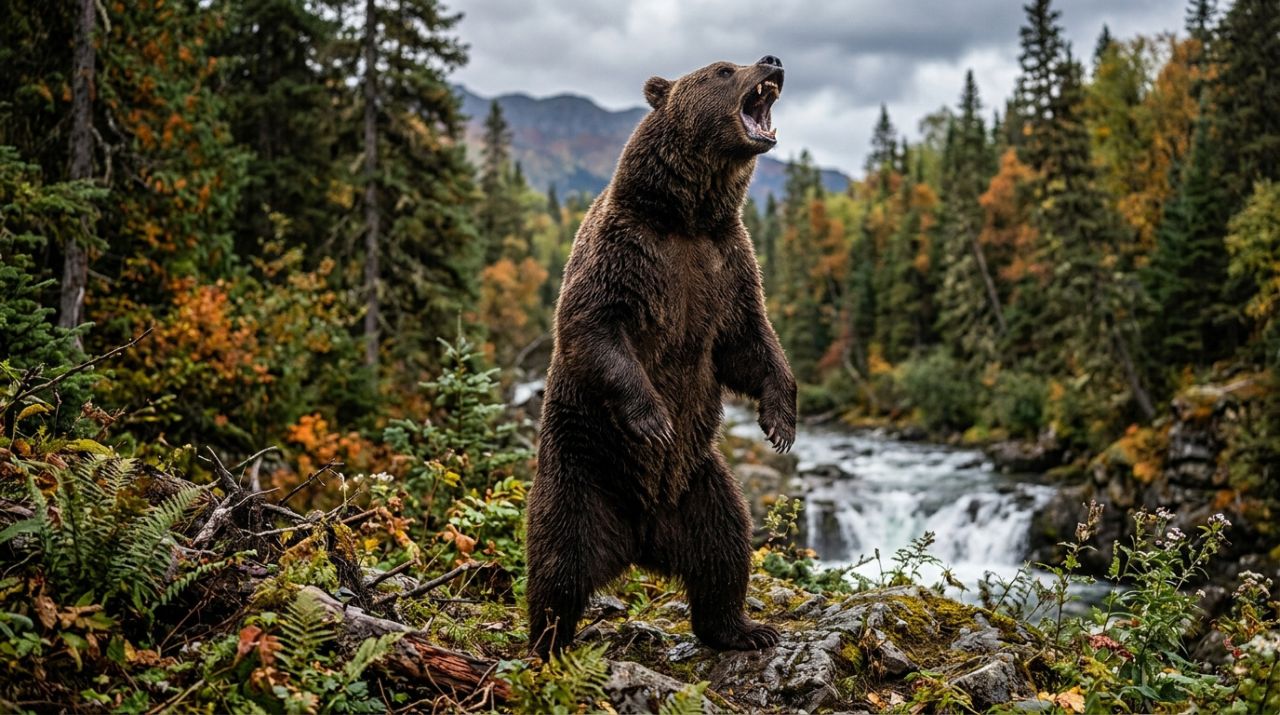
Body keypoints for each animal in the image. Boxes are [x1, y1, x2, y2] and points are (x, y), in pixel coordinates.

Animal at [525, 55, 797, 658]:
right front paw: (652, 419)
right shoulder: (624, 252)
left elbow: (749, 343)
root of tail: (640, 536)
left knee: (726, 541)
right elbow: (592, 326)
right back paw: (548, 644)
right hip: (581, 472)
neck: (688, 216)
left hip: (699, 482)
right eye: (724, 69)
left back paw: (744, 628)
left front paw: (780, 422)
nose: (772, 61)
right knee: (558, 563)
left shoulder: (727, 264)